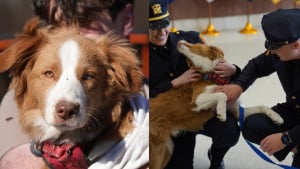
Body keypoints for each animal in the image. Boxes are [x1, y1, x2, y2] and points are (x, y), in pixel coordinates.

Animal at [149, 40, 284, 169]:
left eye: (196, 44)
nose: (178, 42)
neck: (213, 75)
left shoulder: (236, 111)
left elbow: (261, 106)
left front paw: (277, 117)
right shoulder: (197, 100)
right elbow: (222, 95)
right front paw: (221, 113)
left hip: (167, 149)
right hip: (157, 152)